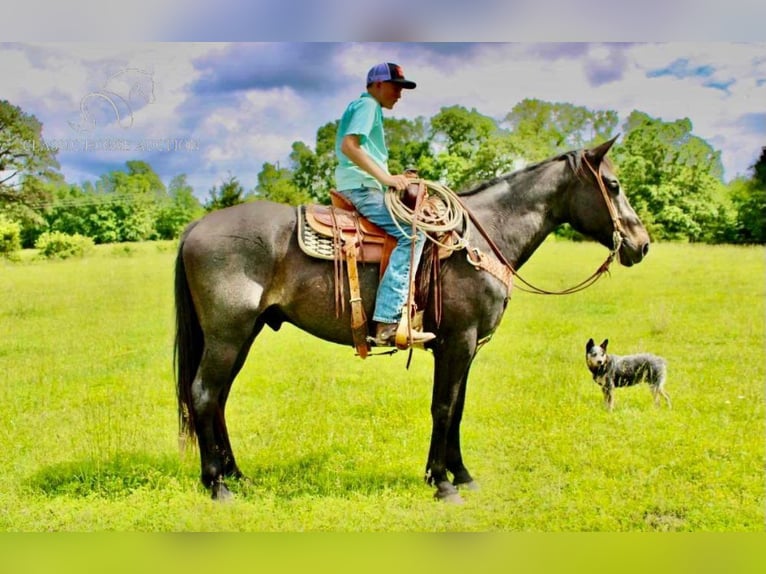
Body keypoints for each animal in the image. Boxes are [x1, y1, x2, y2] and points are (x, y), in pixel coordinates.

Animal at [176, 137, 656, 502]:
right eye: (613, 184)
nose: (642, 244)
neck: (479, 239)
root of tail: (196, 226)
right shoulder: (457, 341)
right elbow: (443, 406)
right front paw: (442, 483)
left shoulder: (466, 347)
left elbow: (458, 406)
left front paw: (458, 474)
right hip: (227, 335)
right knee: (204, 394)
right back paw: (216, 484)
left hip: (243, 334)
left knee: (218, 398)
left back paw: (235, 474)